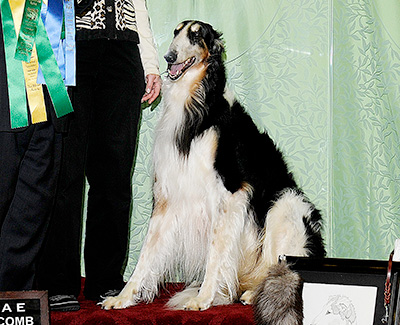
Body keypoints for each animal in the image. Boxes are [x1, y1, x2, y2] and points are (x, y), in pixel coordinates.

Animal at [101, 19, 324, 322]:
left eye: (197, 36)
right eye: (176, 32)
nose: (169, 57)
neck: (194, 104)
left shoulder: (231, 194)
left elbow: (215, 253)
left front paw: (203, 298)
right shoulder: (168, 195)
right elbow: (147, 253)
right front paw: (123, 297)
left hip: (284, 206)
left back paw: (253, 293)